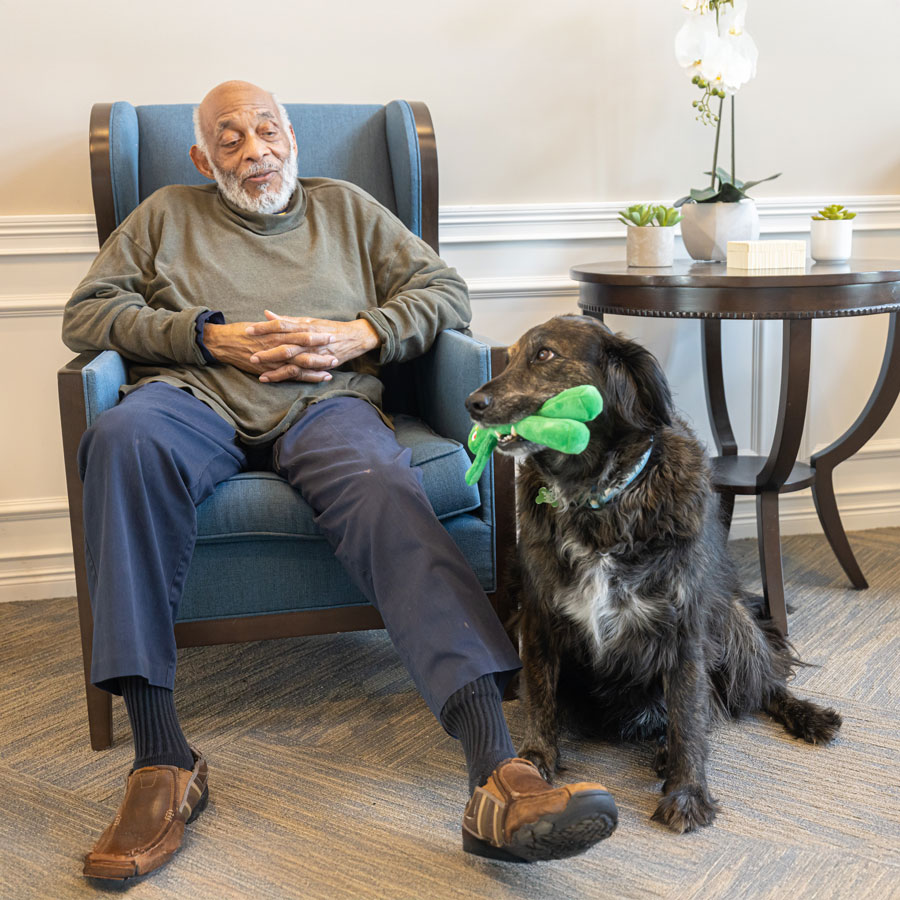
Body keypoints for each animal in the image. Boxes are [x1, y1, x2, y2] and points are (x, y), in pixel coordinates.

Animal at [468, 318, 840, 836]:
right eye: (511, 358)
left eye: (544, 355)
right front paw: (534, 762)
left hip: (730, 620)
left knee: (756, 689)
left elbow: (688, 716)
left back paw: (805, 716)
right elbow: (539, 697)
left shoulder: (683, 627)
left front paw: (688, 792)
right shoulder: (539, 616)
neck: (599, 499)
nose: (471, 403)